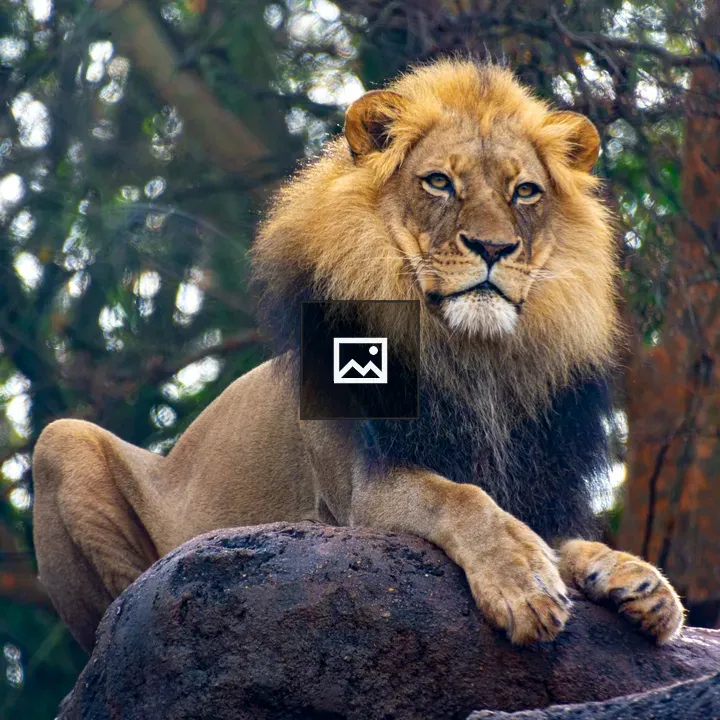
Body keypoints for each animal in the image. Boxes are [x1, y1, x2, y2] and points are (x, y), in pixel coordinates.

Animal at [33, 59, 684, 653]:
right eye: (439, 182)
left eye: (525, 190)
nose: (494, 247)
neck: (472, 357)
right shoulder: (360, 494)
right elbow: (462, 498)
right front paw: (523, 584)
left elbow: (555, 535)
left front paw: (632, 576)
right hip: (61, 442)